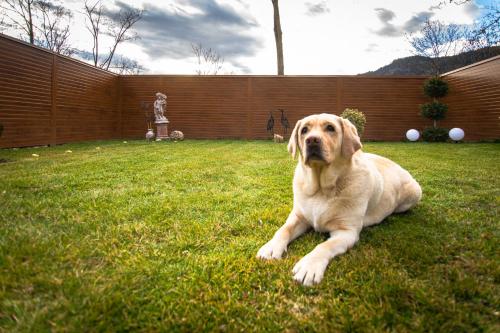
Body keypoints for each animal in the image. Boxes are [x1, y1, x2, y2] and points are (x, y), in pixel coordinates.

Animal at [258, 113, 422, 286]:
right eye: (304, 130)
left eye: (330, 128)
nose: (311, 140)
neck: (322, 188)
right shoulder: (299, 216)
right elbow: (283, 230)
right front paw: (271, 247)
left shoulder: (347, 232)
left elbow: (324, 246)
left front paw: (309, 266)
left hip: (414, 193)